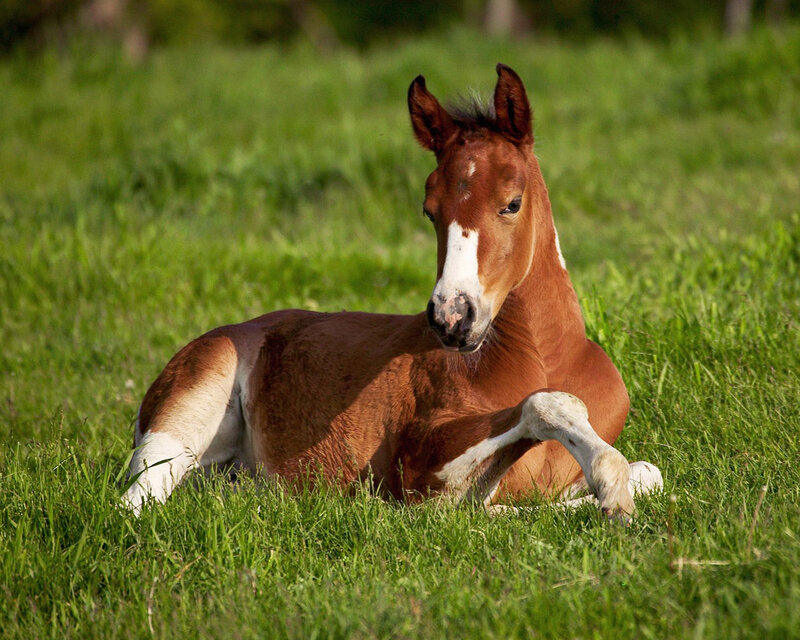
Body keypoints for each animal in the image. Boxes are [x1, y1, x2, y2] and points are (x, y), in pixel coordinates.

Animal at [121, 64, 662, 519]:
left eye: (512, 202)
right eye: (429, 211)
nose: (451, 317)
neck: (546, 358)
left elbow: (650, 473)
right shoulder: (418, 467)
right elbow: (541, 413)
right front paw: (610, 489)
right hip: (184, 414)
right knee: (135, 502)